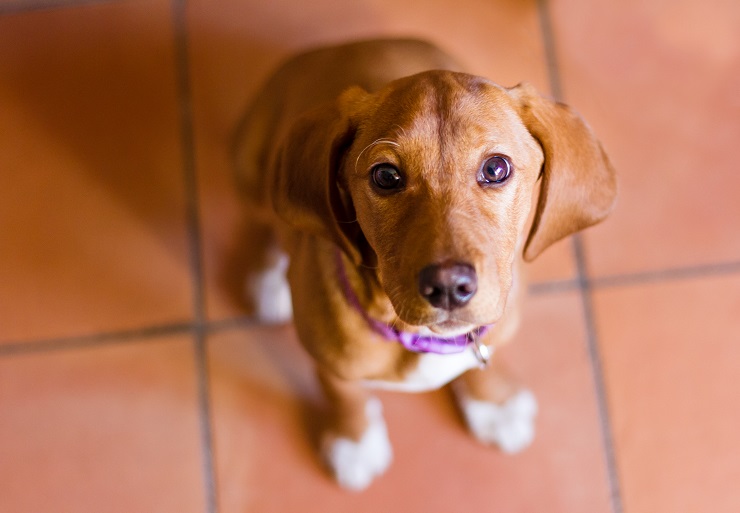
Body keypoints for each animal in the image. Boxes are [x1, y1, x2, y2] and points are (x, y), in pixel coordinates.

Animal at [234, 37, 616, 488]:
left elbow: (486, 356)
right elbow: (345, 394)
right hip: (251, 175)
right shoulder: (330, 361)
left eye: (496, 168)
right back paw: (268, 280)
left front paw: (494, 404)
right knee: (263, 224)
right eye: (386, 176)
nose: (449, 286)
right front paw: (355, 441)